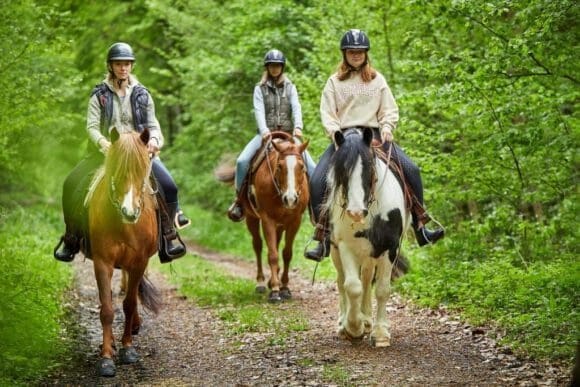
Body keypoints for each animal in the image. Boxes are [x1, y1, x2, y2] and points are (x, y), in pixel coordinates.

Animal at [84, 129, 161, 378]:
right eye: (116, 171)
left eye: (142, 171)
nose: (130, 212)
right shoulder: (102, 262)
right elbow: (107, 309)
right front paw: (106, 357)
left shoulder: (139, 262)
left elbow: (129, 304)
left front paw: (128, 349)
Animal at [216, 132, 308, 304]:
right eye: (279, 166)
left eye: (301, 166)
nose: (290, 199)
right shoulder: (267, 219)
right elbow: (272, 254)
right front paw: (275, 291)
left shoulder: (295, 221)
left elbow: (287, 253)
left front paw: (284, 288)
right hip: (251, 218)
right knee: (258, 245)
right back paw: (261, 283)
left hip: (280, 224)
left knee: (276, 244)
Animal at [324, 128, 410, 348]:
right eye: (341, 171)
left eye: (369, 167)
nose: (355, 212)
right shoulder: (345, 246)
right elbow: (352, 287)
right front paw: (353, 328)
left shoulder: (389, 247)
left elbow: (382, 289)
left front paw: (379, 333)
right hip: (337, 251)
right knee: (342, 281)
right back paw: (344, 322)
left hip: (371, 253)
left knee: (366, 278)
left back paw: (368, 319)